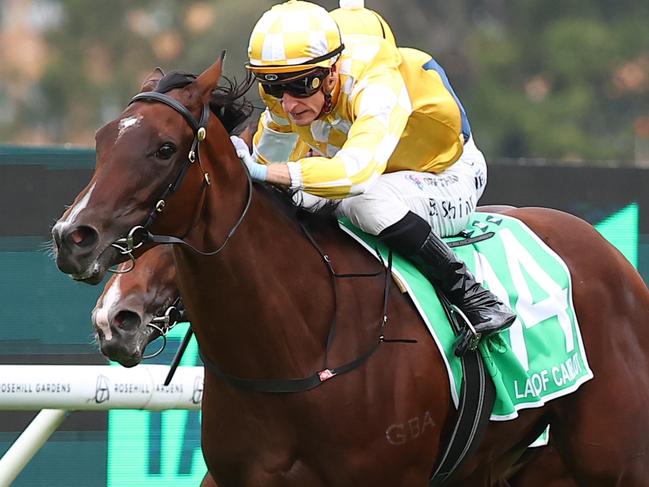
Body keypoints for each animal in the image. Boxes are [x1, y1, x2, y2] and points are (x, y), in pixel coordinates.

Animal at [52, 58, 648, 487]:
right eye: (102, 142)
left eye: (164, 148)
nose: (72, 238)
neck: (296, 348)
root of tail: (617, 262)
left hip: (613, 460)